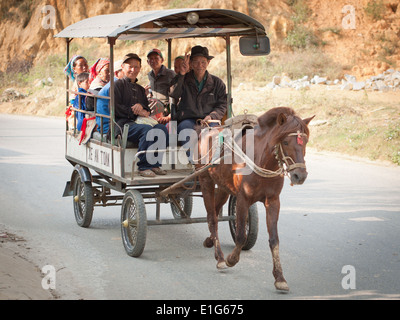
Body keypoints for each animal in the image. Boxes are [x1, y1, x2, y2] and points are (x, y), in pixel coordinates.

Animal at [195, 106, 314, 292]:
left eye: (306, 142)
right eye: (286, 142)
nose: (299, 176)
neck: (262, 159)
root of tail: (207, 129)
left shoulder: (273, 201)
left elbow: (274, 239)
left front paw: (279, 277)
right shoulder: (243, 198)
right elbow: (241, 236)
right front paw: (231, 259)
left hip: (223, 187)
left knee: (213, 212)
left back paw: (210, 240)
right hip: (205, 179)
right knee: (212, 219)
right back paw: (220, 257)